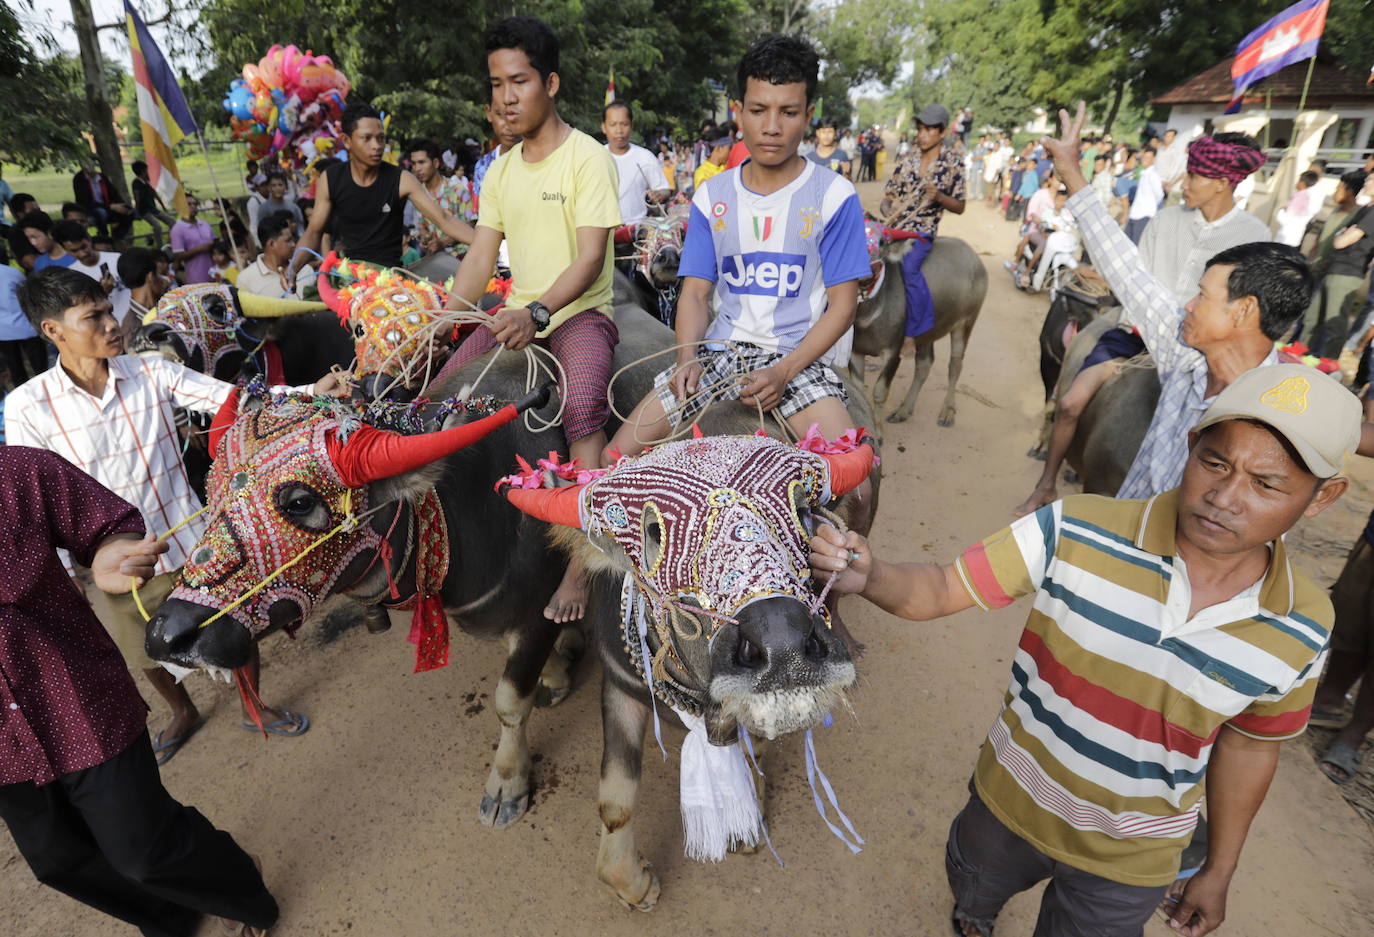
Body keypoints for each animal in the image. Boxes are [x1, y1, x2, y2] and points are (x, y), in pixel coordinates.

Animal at [846, 233, 989, 423]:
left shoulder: (894, 352)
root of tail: (974, 257)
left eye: (880, 244)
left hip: (966, 322)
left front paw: (878, 430)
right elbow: (857, 392)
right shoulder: (855, 351)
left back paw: (947, 411)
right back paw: (903, 410)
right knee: (924, 365)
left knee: (955, 364)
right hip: (927, 333)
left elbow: (880, 392)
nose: (864, 276)